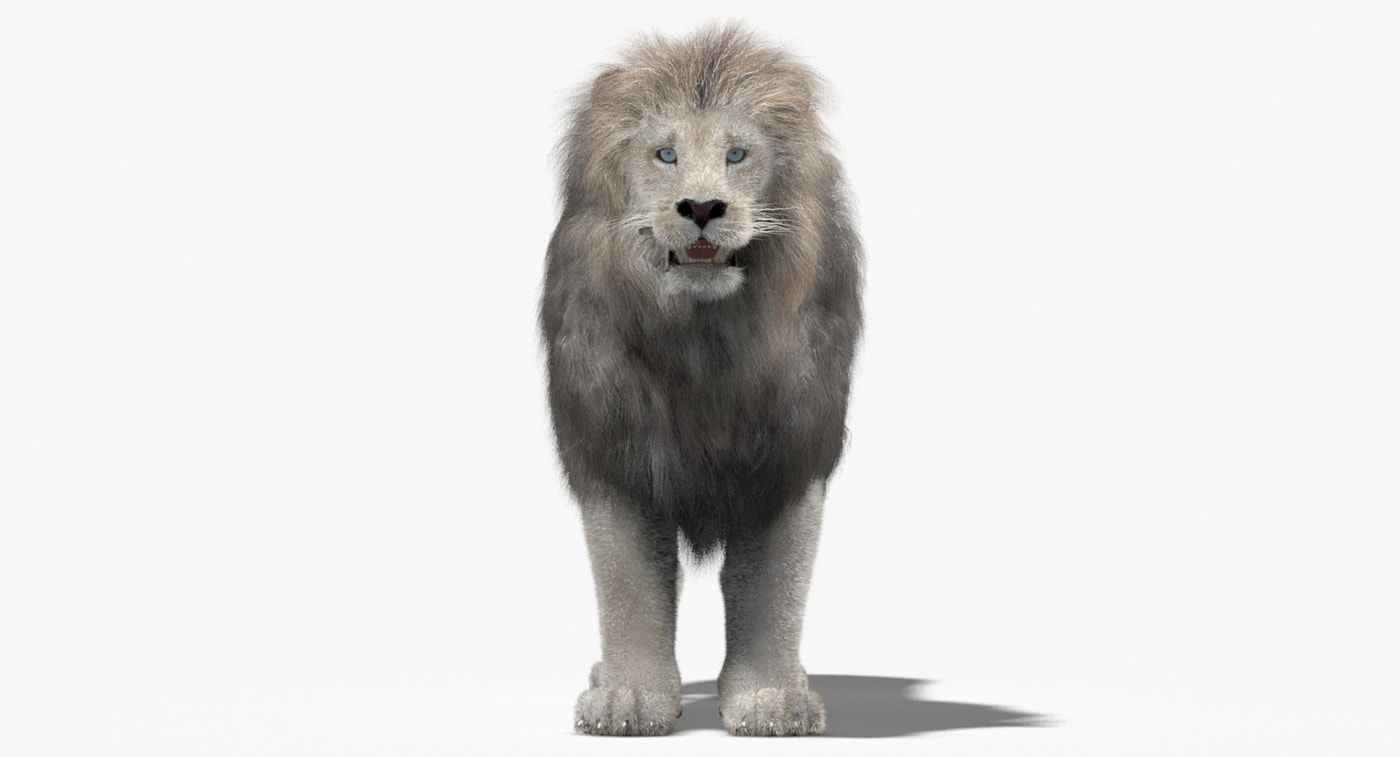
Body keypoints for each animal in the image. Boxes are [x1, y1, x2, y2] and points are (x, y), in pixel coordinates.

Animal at [540, 24, 862, 736]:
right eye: (665, 154)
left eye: (738, 154)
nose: (703, 206)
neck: (703, 344)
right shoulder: (616, 454)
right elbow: (628, 586)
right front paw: (629, 699)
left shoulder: (788, 460)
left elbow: (772, 591)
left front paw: (771, 700)